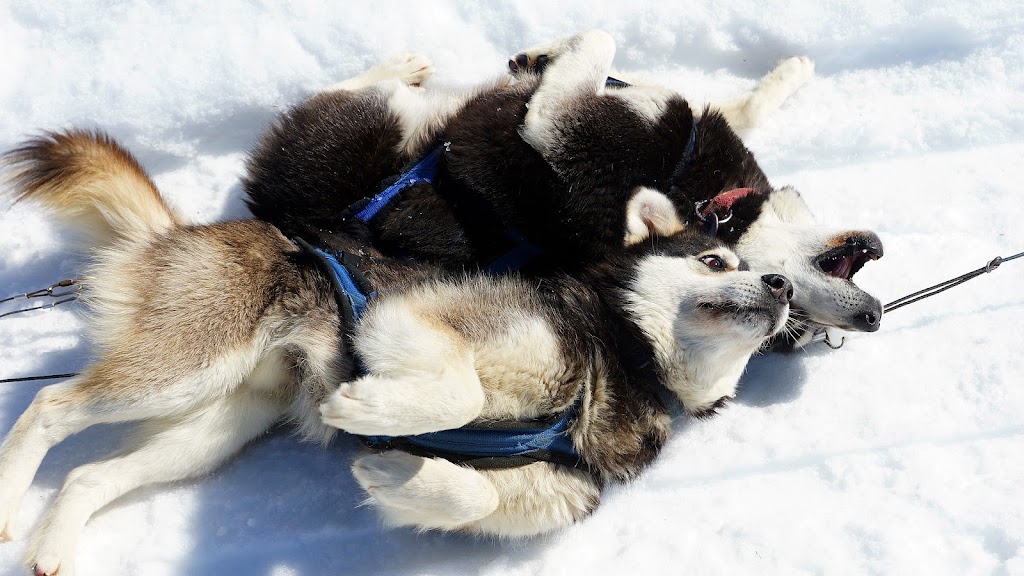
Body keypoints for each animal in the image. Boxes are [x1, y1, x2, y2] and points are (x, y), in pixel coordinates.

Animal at [0, 131, 790, 573]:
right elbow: (459, 391)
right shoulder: (411, 315)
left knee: (90, 476)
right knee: (50, 403)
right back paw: (9, 501)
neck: (622, 356)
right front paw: (370, 412)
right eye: (716, 261)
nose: (781, 284)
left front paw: (395, 472)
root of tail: (184, 232)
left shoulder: (556, 491)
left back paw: (51, 546)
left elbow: (473, 493)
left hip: (212, 429)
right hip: (187, 364)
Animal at [245, 29, 880, 348]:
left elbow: (605, 45)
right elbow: (614, 50)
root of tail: (300, 225)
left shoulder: (559, 127)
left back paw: (400, 68)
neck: (700, 194)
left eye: (801, 327)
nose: (873, 319)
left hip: (368, 127)